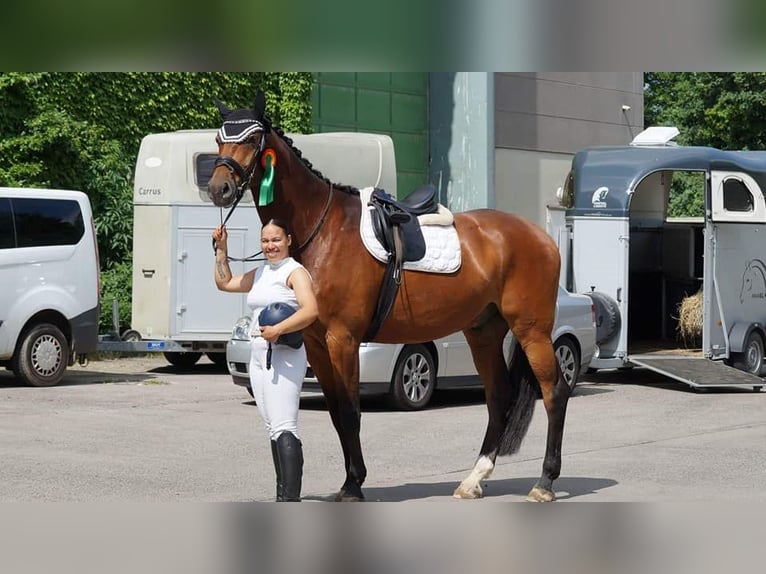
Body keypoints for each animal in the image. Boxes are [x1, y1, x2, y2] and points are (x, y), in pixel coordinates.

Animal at [208, 92, 568, 502]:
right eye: (218, 139)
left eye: (252, 139)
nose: (218, 187)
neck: (322, 231)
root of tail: (540, 236)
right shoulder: (316, 344)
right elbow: (336, 413)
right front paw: (350, 480)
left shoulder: (343, 339)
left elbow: (350, 412)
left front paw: (353, 485)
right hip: (484, 332)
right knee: (499, 396)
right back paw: (474, 478)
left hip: (532, 329)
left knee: (554, 393)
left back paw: (545, 482)